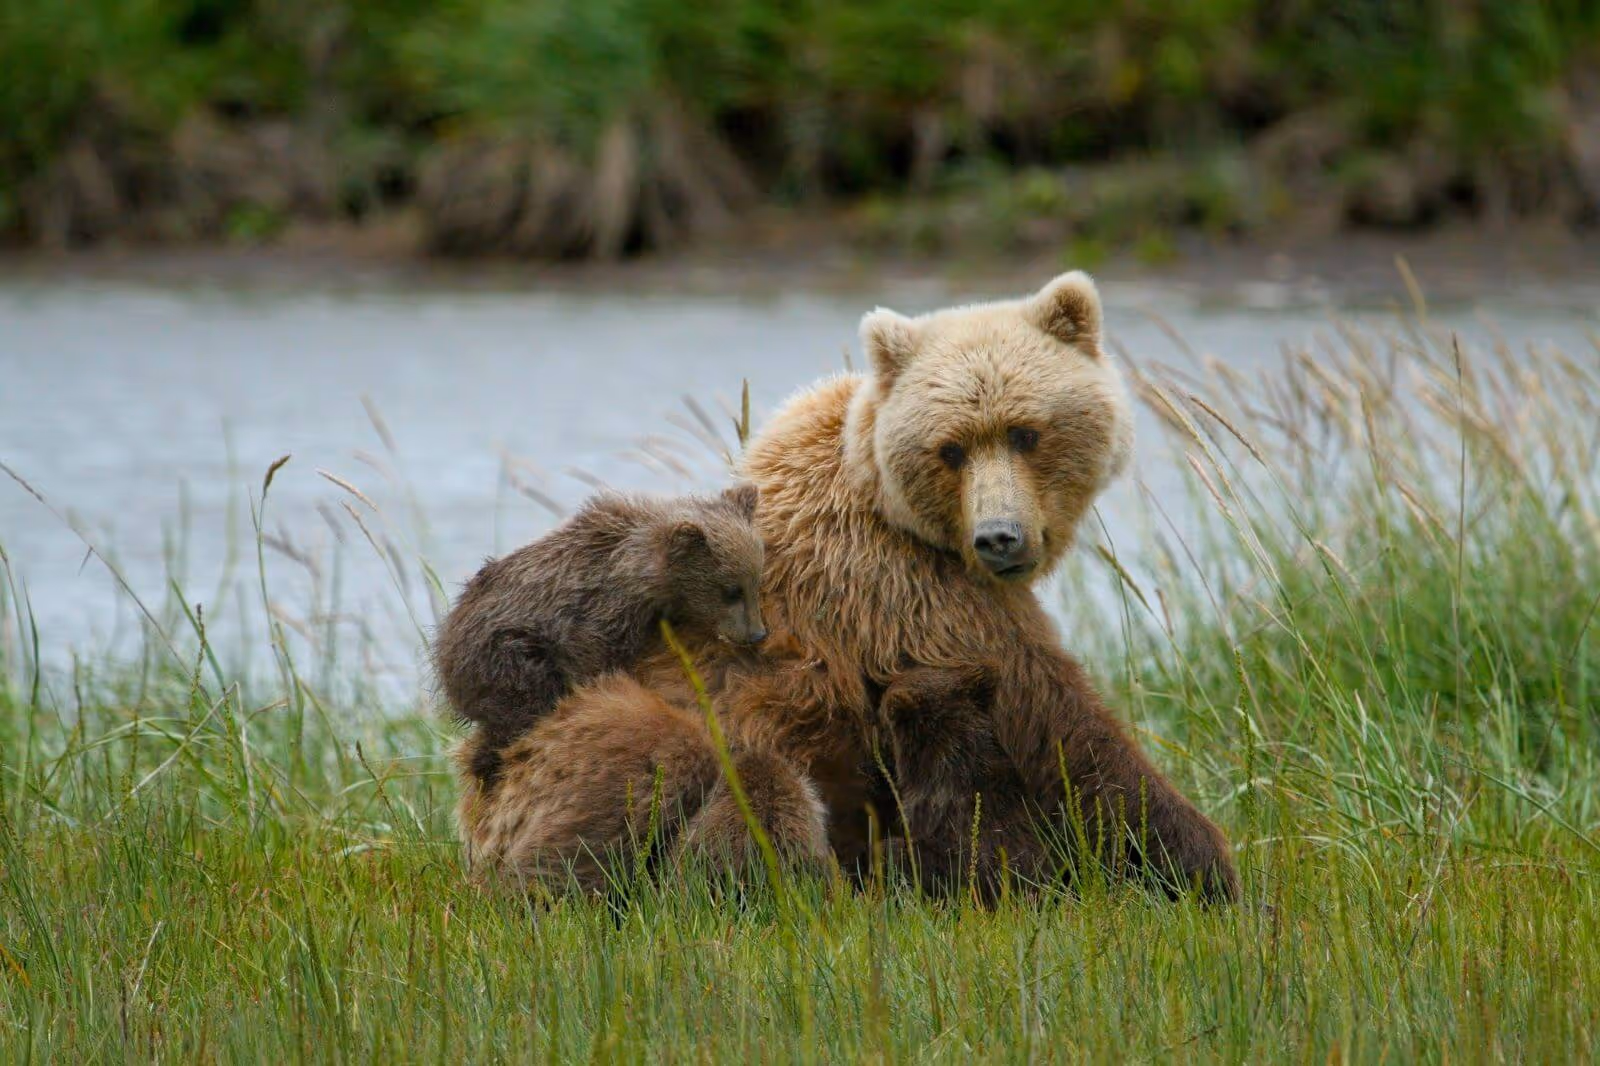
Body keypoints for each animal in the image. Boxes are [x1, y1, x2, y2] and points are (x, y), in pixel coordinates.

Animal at [433, 484, 768, 789]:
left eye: (755, 582)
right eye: (731, 590)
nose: (757, 634)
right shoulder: (597, 613)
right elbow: (592, 658)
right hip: (506, 654)